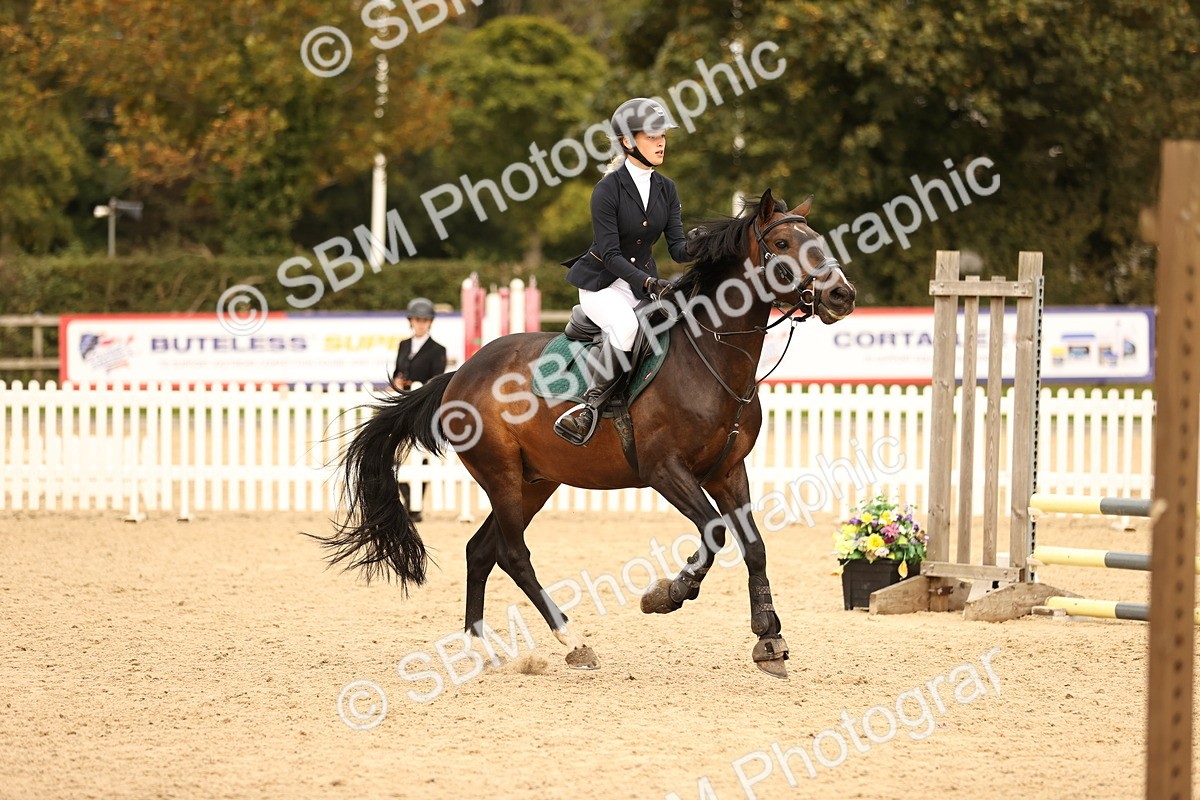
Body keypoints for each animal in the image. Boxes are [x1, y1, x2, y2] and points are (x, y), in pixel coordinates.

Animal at [311, 188, 857, 678]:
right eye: (782, 242)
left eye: (817, 240)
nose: (841, 295)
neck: (711, 357)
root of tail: (460, 373)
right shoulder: (665, 470)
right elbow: (715, 531)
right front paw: (666, 596)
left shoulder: (727, 470)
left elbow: (753, 544)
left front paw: (769, 639)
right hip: (502, 474)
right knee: (512, 553)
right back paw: (572, 640)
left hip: (536, 481)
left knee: (481, 551)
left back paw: (482, 648)